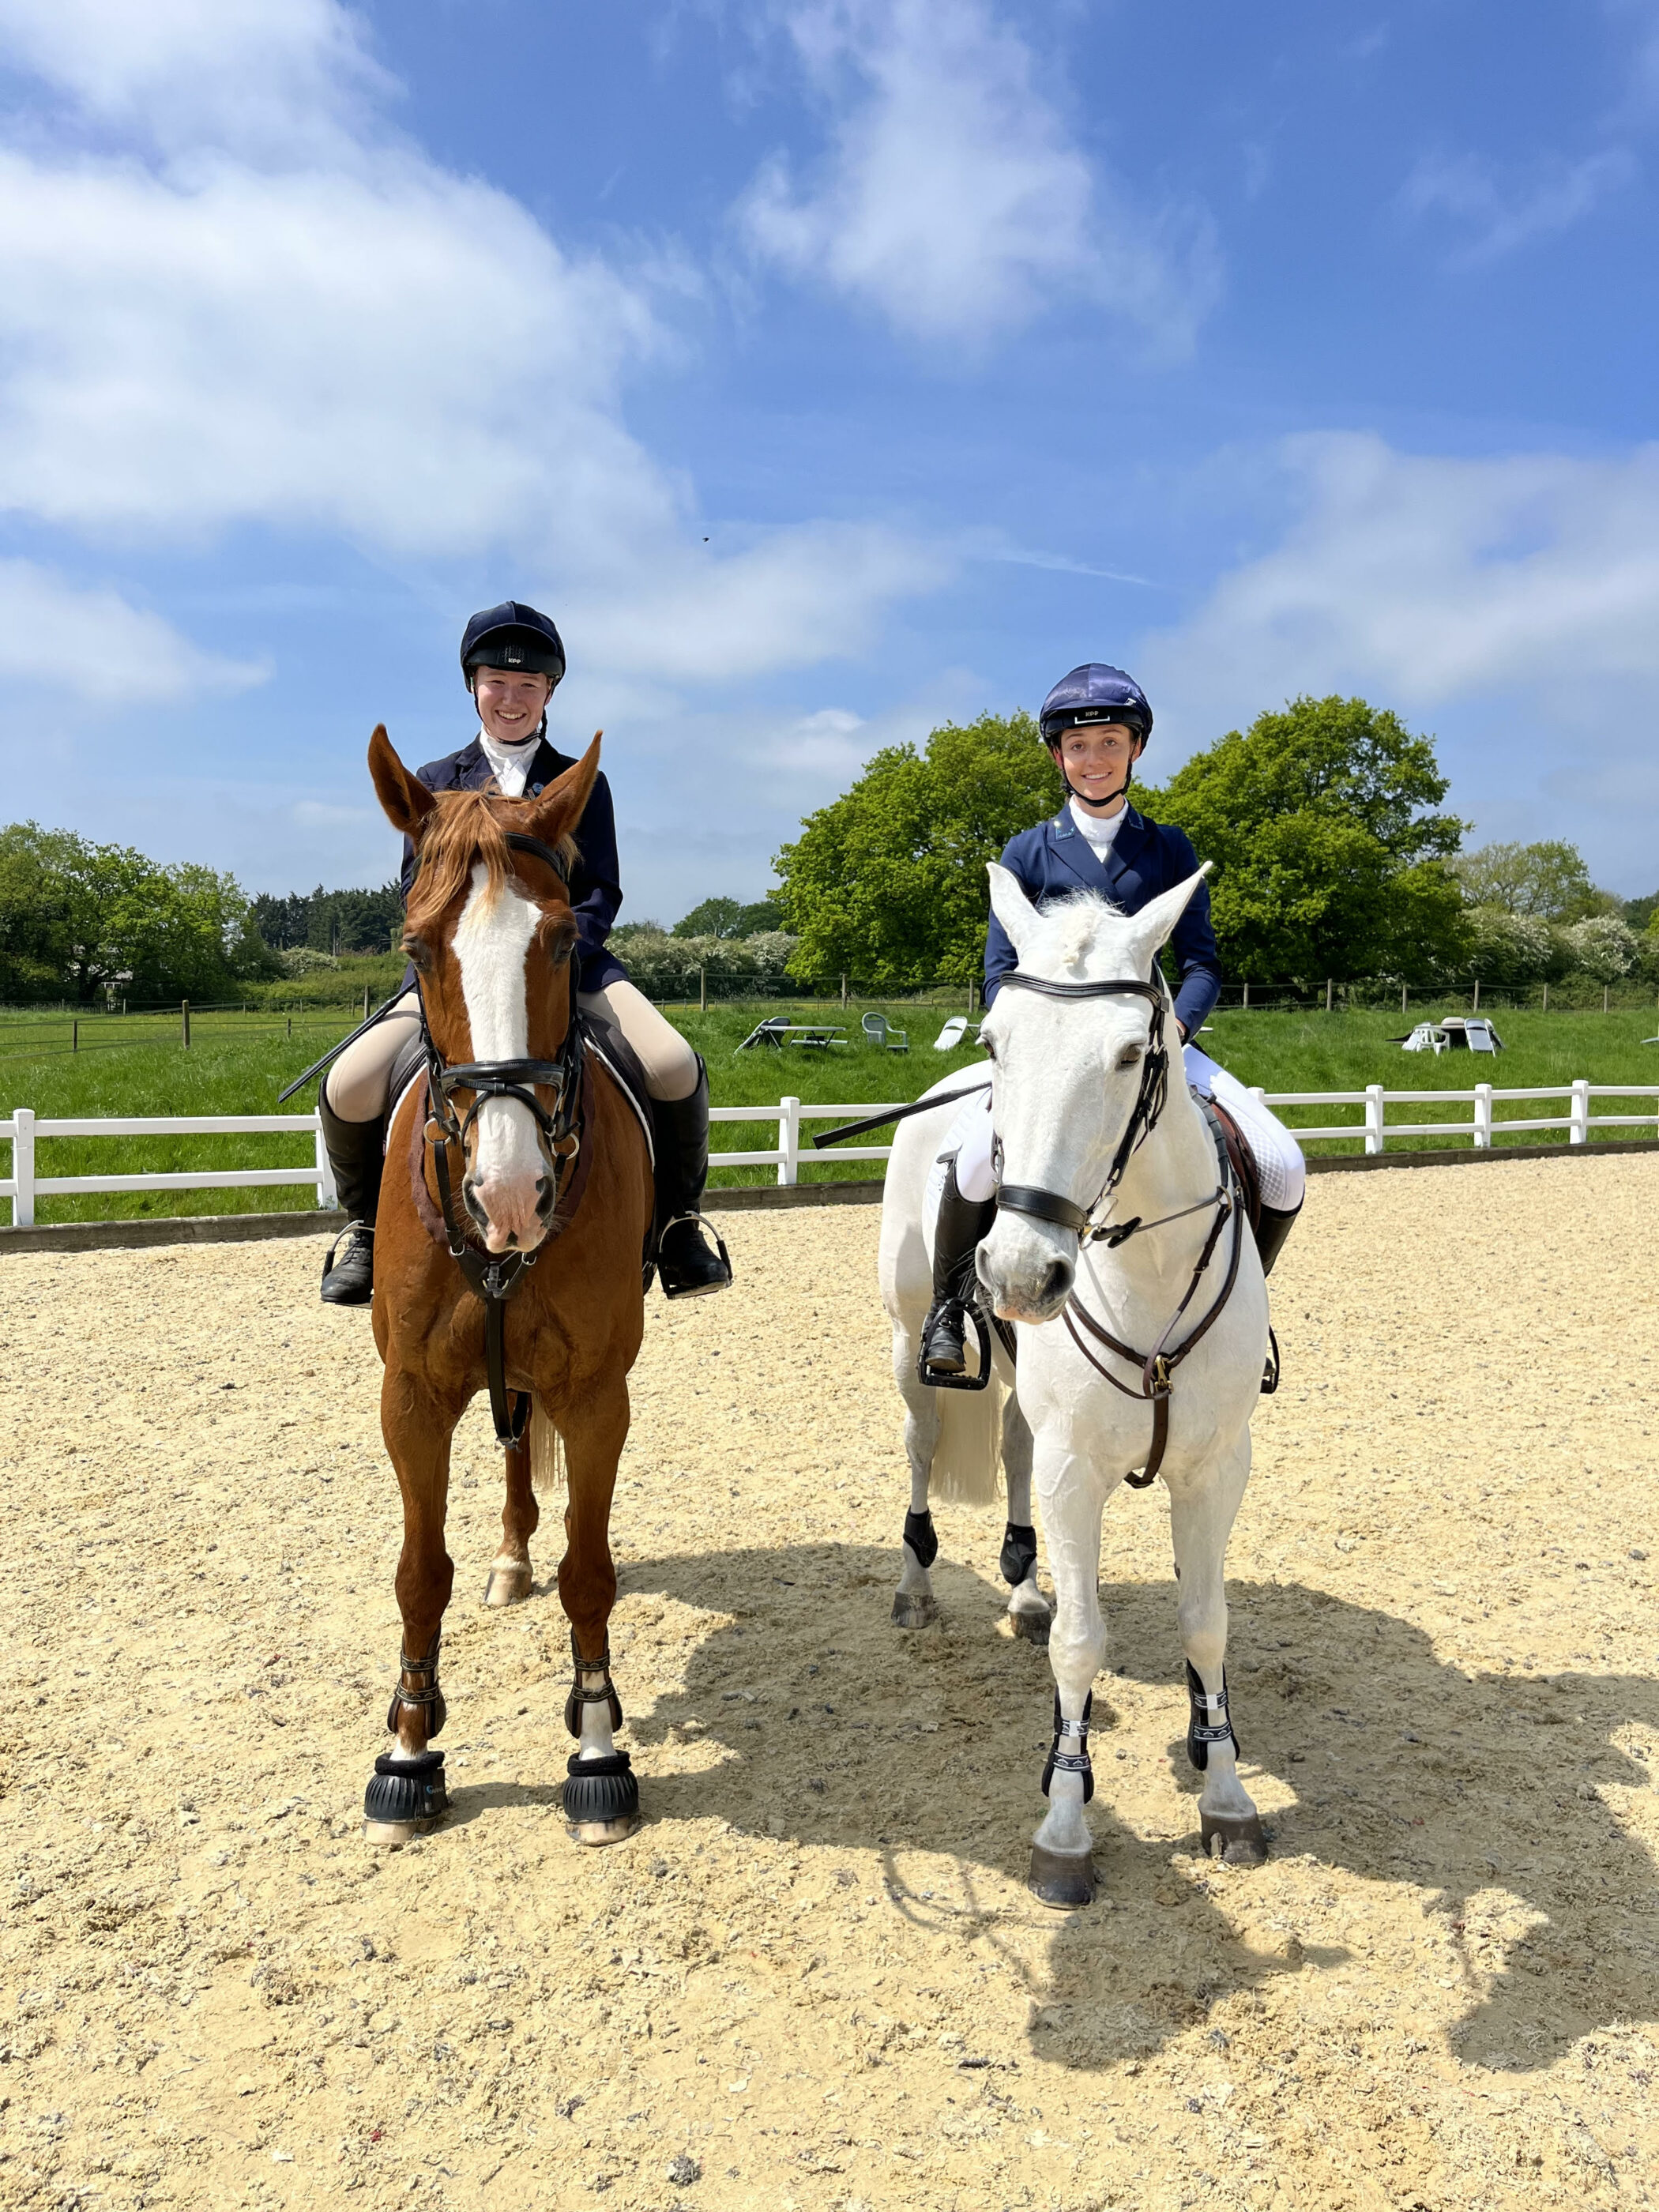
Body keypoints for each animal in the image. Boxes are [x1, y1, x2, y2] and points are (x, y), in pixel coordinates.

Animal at [359, 725, 655, 1851]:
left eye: (567, 942)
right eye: (414, 947)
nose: (510, 1194)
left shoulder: (600, 1392)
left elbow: (590, 1570)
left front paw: (599, 1747)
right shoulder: (411, 1395)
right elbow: (418, 1571)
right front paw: (407, 1752)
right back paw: (509, 1557)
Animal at [889, 861, 1273, 1908]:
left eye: (1132, 1052)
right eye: (997, 1039)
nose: (1021, 1274)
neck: (1145, 1271)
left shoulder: (1214, 1467)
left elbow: (1208, 1621)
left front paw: (1224, 1789)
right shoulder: (1075, 1470)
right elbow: (1082, 1645)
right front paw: (1064, 1826)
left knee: (1013, 1444)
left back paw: (1025, 1591)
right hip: (908, 1341)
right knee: (923, 1445)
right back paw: (917, 1587)